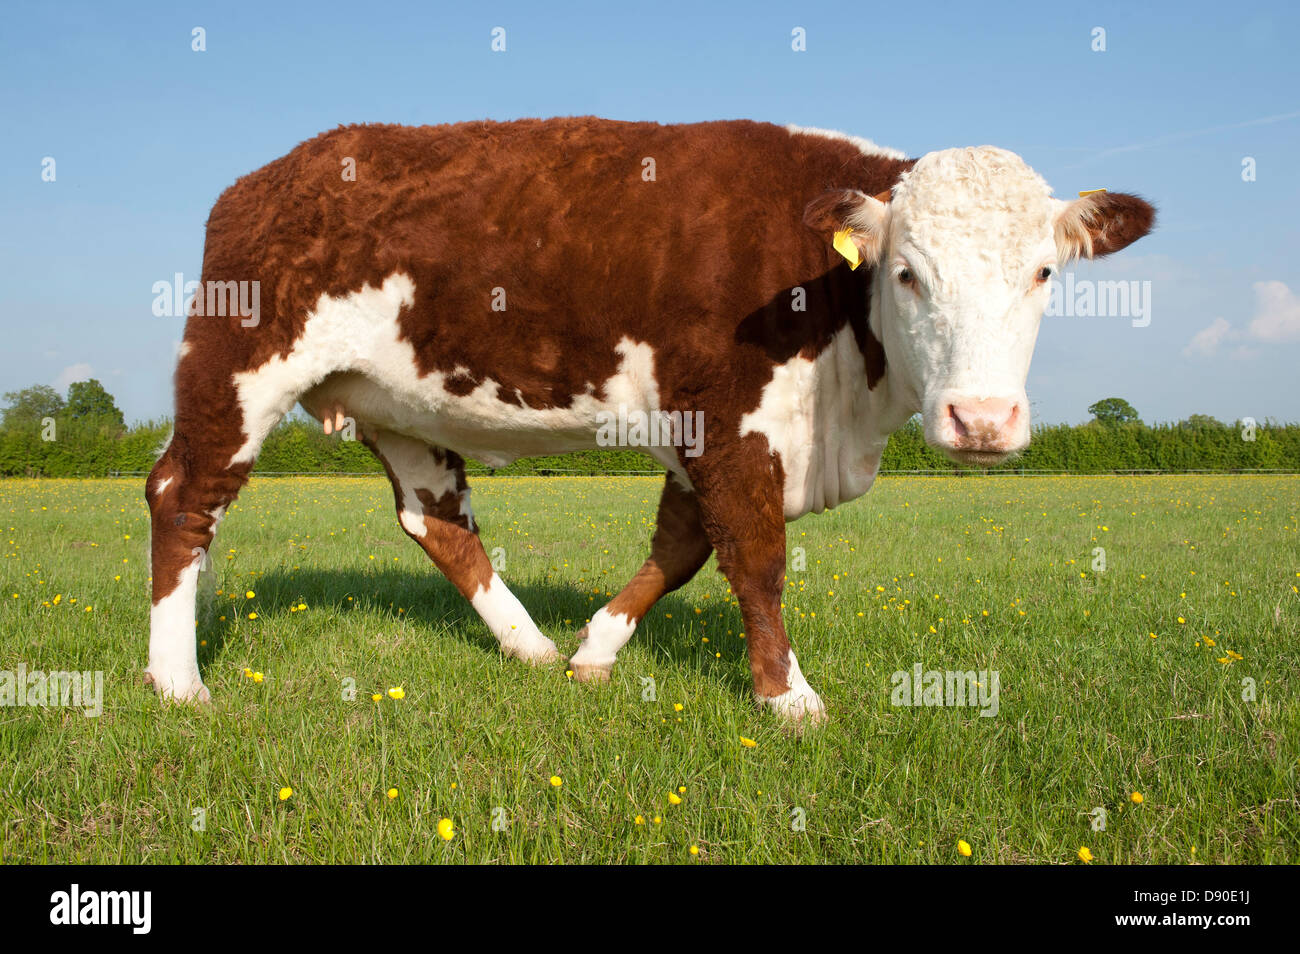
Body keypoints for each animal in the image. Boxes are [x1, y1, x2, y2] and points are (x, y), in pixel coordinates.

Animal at [147, 115, 1154, 722]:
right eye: (907, 272)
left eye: (1044, 272)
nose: (982, 420)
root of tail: (269, 176)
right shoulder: (729, 416)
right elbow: (755, 558)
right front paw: (789, 699)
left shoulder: (701, 433)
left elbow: (682, 549)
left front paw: (595, 650)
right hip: (236, 365)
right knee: (182, 498)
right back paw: (177, 681)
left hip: (395, 400)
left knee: (436, 522)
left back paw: (530, 648)